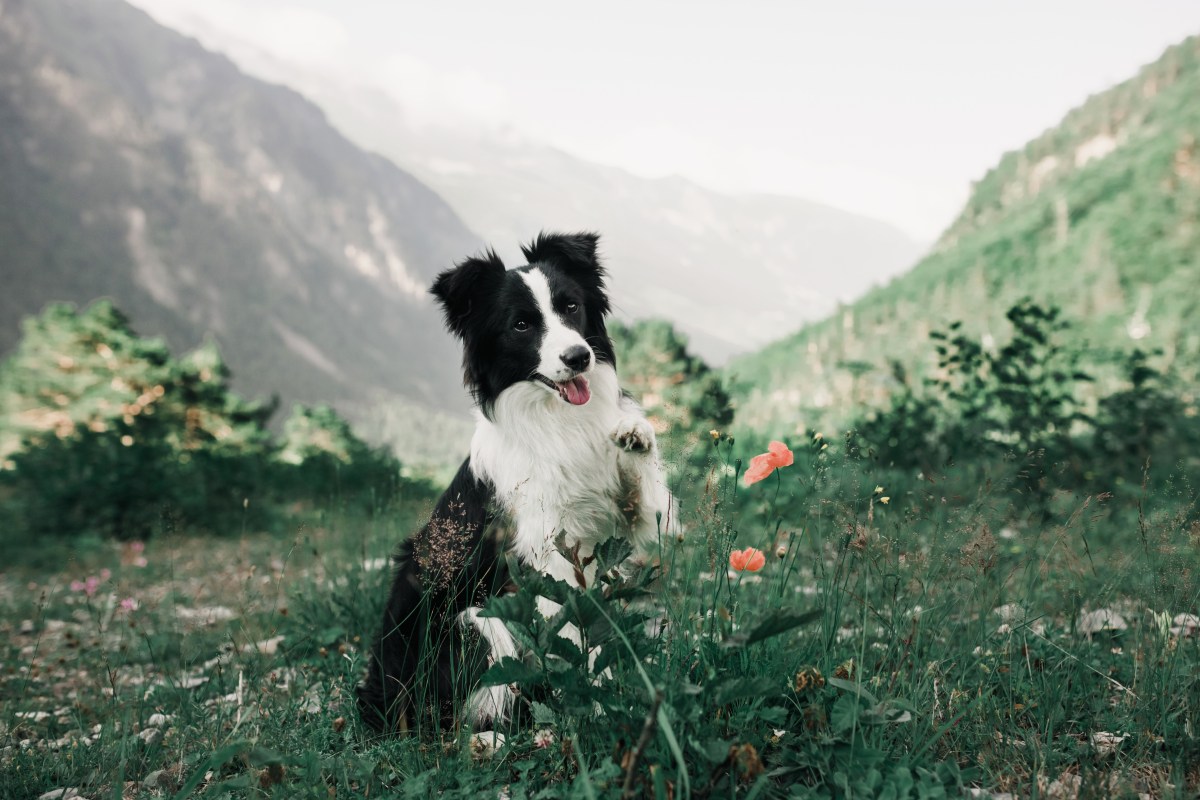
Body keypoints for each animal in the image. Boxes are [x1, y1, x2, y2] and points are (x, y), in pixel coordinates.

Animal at [355, 230, 676, 734]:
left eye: (571, 307)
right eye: (522, 325)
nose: (579, 357)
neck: (556, 418)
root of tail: (378, 700)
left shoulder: (632, 519)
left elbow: (647, 496)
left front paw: (634, 433)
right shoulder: (546, 548)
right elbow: (569, 625)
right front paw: (589, 705)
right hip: (470, 621)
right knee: (460, 715)